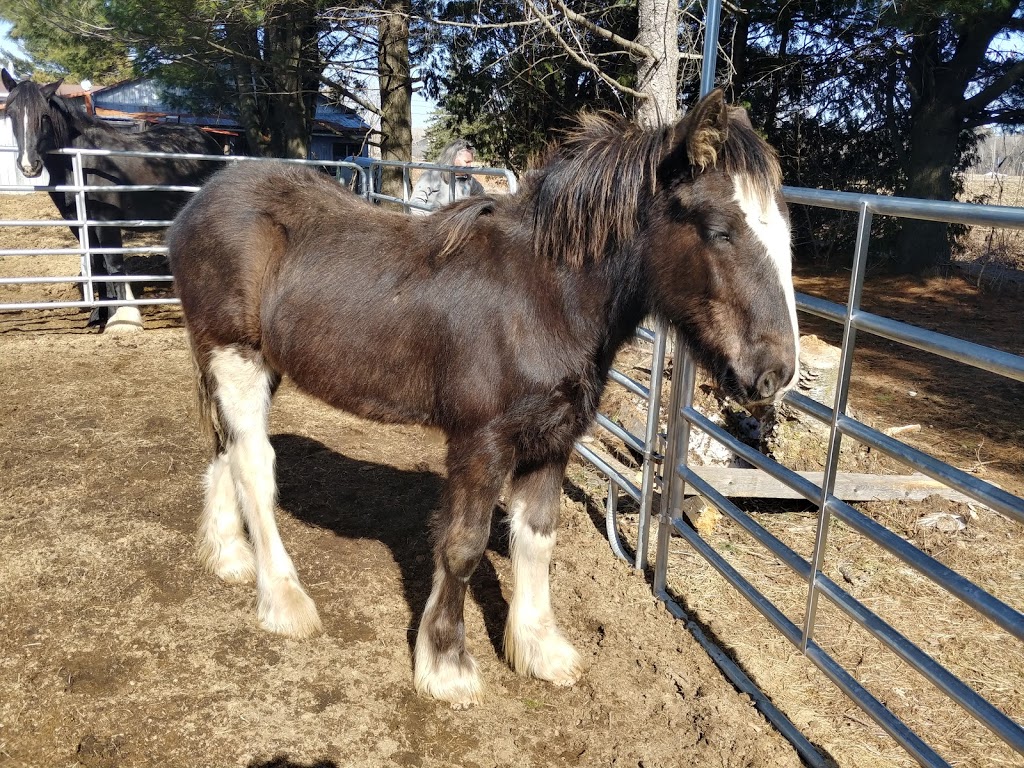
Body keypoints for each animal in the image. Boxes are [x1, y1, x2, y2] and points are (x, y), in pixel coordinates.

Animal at [1, 67, 221, 331]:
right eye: (11, 114)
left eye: (44, 116)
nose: (29, 165)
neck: (82, 162)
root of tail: (208, 140)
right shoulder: (77, 222)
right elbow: (97, 266)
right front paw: (98, 316)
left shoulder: (106, 219)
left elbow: (113, 264)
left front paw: (123, 318)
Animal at [167, 90, 802, 708]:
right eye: (720, 230)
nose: (774, 374)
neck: (544, 297)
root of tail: (195, 206)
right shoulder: (481, 441)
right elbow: (463, 547)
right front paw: (446, 666)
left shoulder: (553, 439)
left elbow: (537, 536)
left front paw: (540, 650)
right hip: (234, 356)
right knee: (254, 464)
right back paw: (284, 601)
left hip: (254, 365)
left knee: (226, 446)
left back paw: (228, 557)